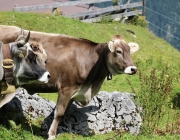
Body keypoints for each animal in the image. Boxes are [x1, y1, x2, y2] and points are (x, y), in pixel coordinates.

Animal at [0, 24, 139, 139]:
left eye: (129, 51)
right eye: (119, 51)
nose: (133, 69)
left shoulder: (75, 92)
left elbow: (61, 113)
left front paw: (46, 129)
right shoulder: (66, 88)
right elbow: (59, 113)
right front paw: (51, 135)